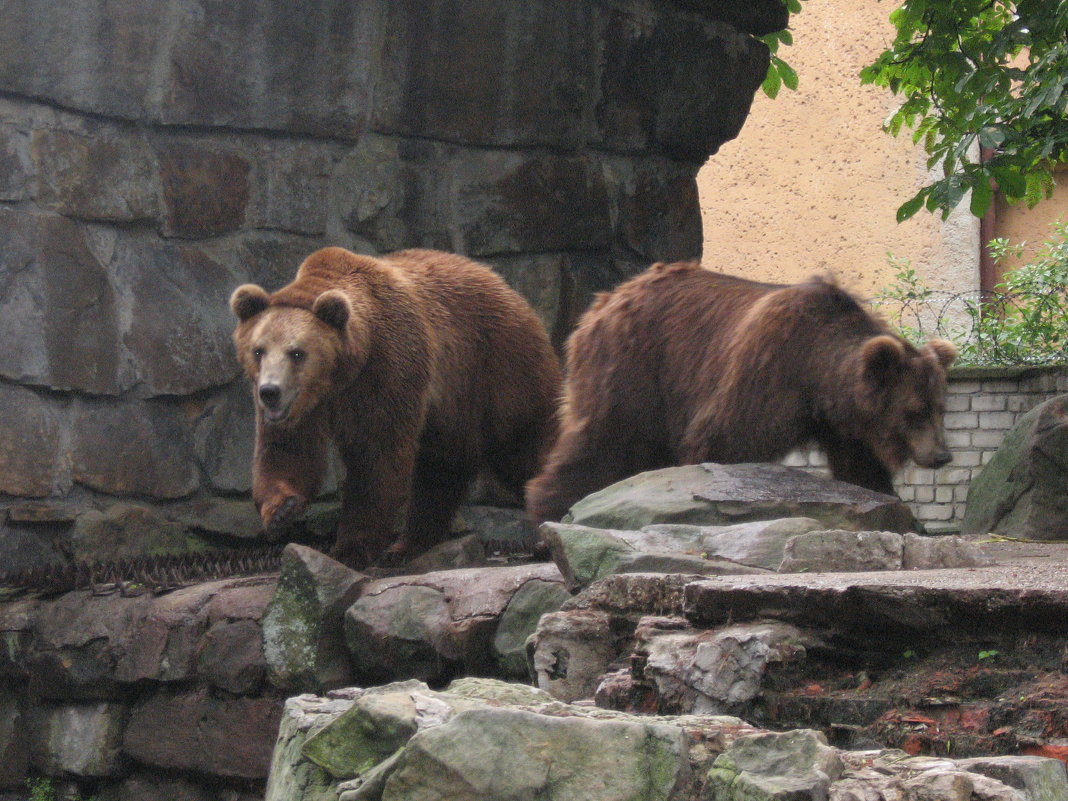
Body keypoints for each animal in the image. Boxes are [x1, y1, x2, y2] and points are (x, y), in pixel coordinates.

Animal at [230, 247, 563, 568]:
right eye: (258, 350)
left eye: (297, 353)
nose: (270, 392)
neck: (341, 375)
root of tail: (507, 287)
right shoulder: (305, 405)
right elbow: (288, 450)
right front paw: (281, 511)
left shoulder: (388, 367)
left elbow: (377, 457)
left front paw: (351, 547)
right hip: (453, 407)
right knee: (440, 470)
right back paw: (408, 545)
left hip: (498, 370)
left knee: (525, 448)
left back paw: (549, 535)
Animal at [527, 263, 961, 523]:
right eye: (913, 410)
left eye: (940, 408)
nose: (941, 456)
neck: (817, 373)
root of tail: (606, 300)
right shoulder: (767, 369)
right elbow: (725, 439)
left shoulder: (843, 423)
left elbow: (860, 467)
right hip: (635, 366)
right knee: (603, 438)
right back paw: (550, 508)